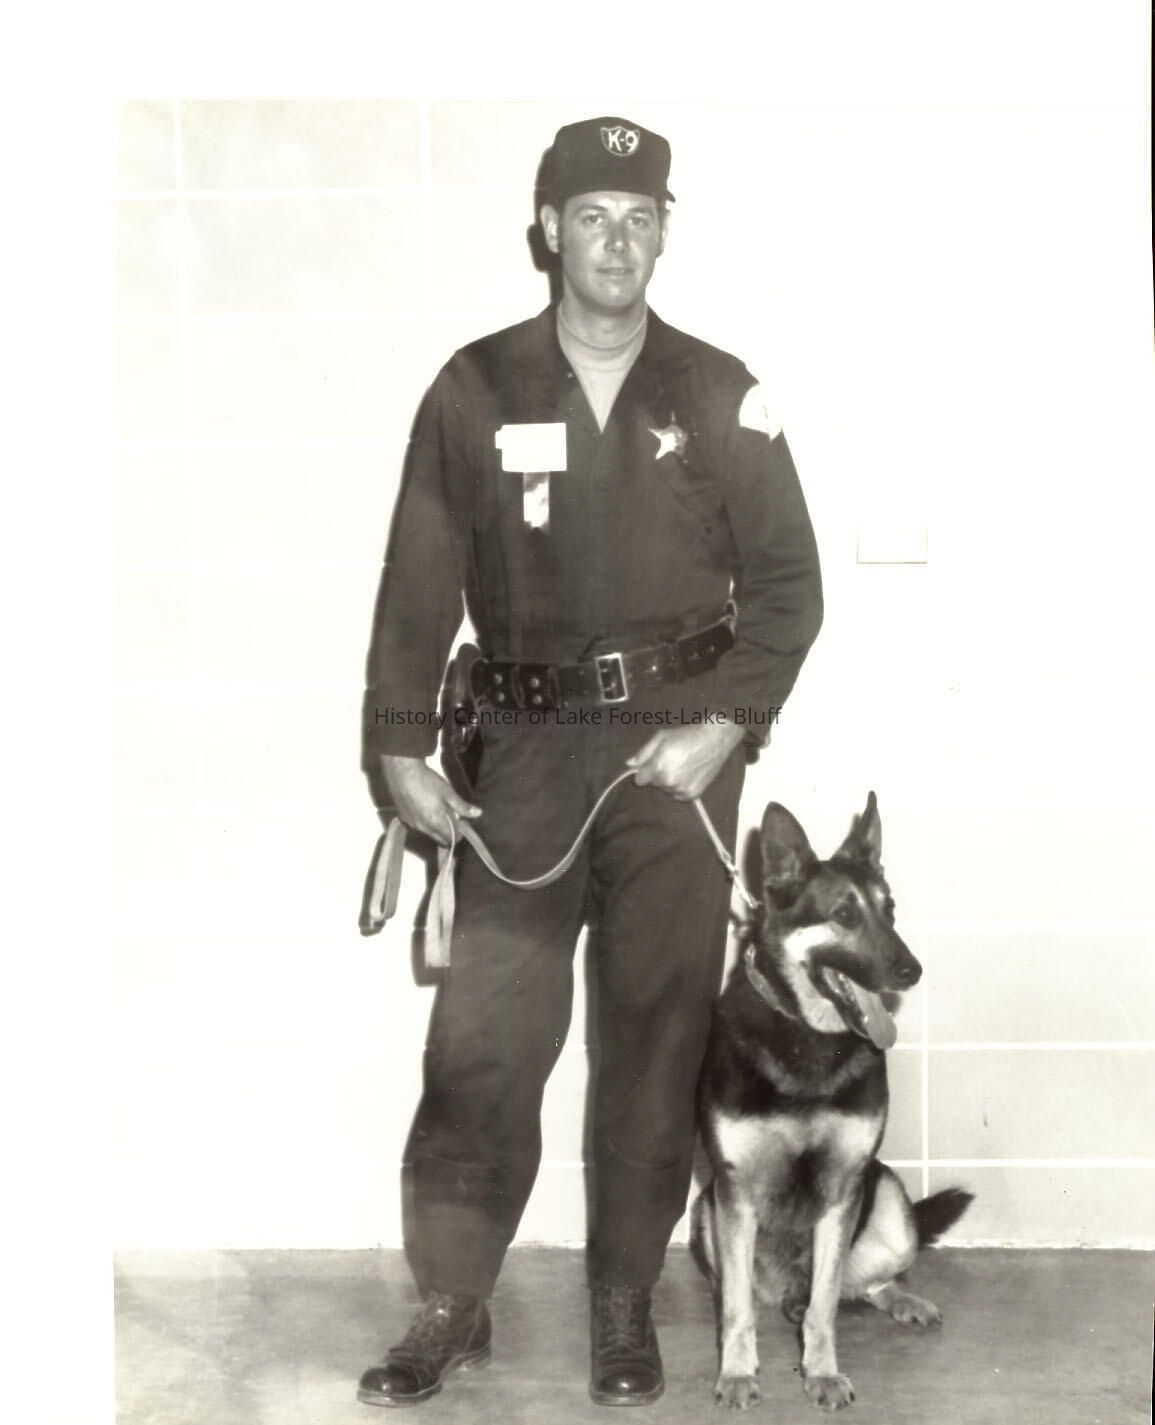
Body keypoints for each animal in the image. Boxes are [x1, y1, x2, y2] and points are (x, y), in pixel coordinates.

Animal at [691, 793, 972, 1412]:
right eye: (844, 915)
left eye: (891, 910)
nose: (911, 971)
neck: (807, 1037)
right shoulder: (734, 1191)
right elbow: (738, 1308)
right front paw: (737, 1372)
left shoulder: (844, 1185)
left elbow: (823, 1309)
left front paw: (821, 1373)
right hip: (705, 1214)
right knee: (749, 1291)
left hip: (888, 1200)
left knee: (859, 1285)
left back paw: (902, 1301)